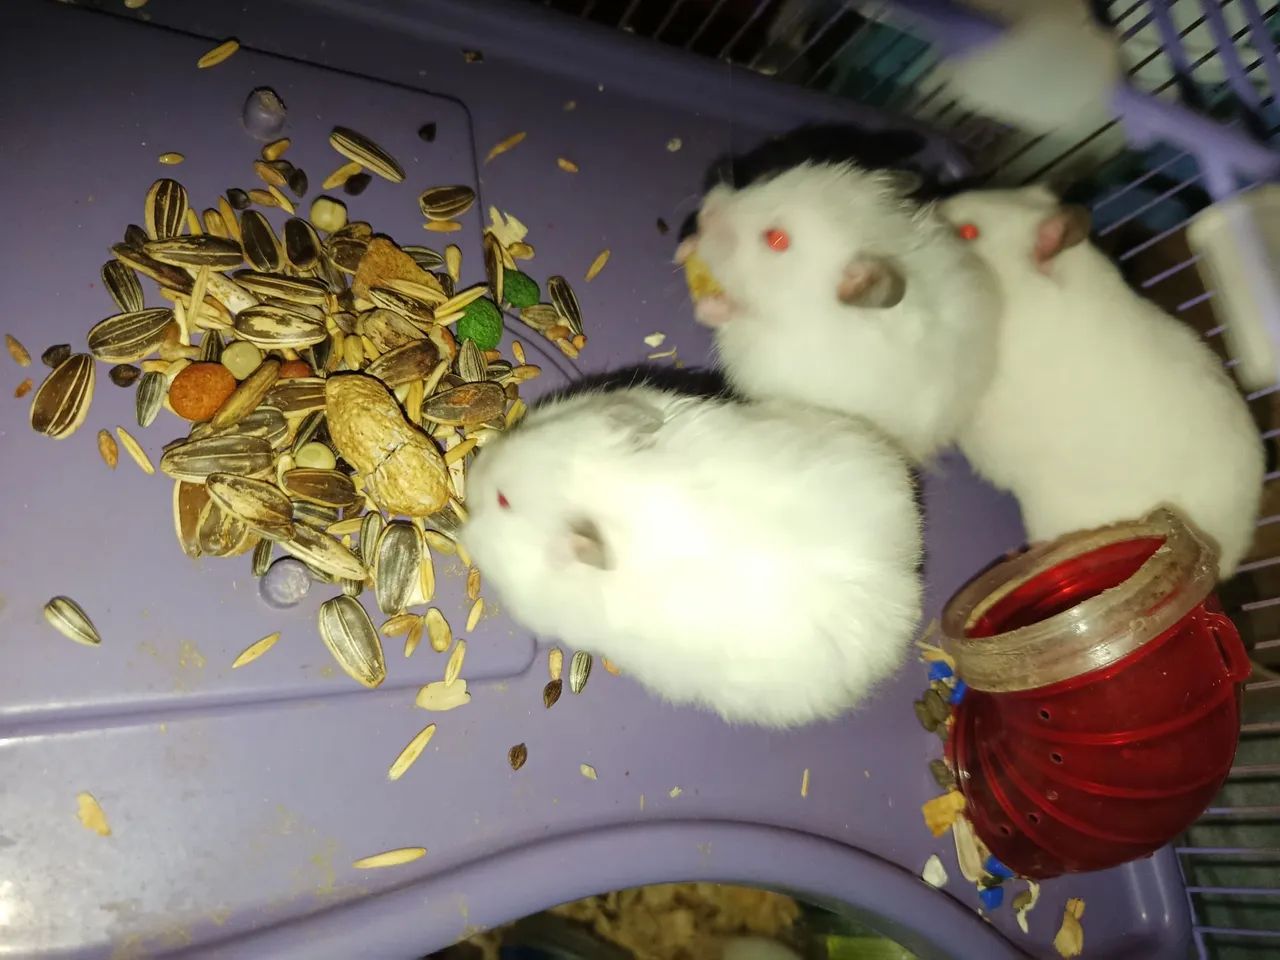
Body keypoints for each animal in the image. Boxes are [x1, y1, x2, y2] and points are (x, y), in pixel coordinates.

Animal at [677, 161, 1000, 462]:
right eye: (766, 177)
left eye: (777, 240)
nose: (704, 213)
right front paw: (685, 247)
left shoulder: (765, 351)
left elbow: (730, 321)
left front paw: (709, 304)